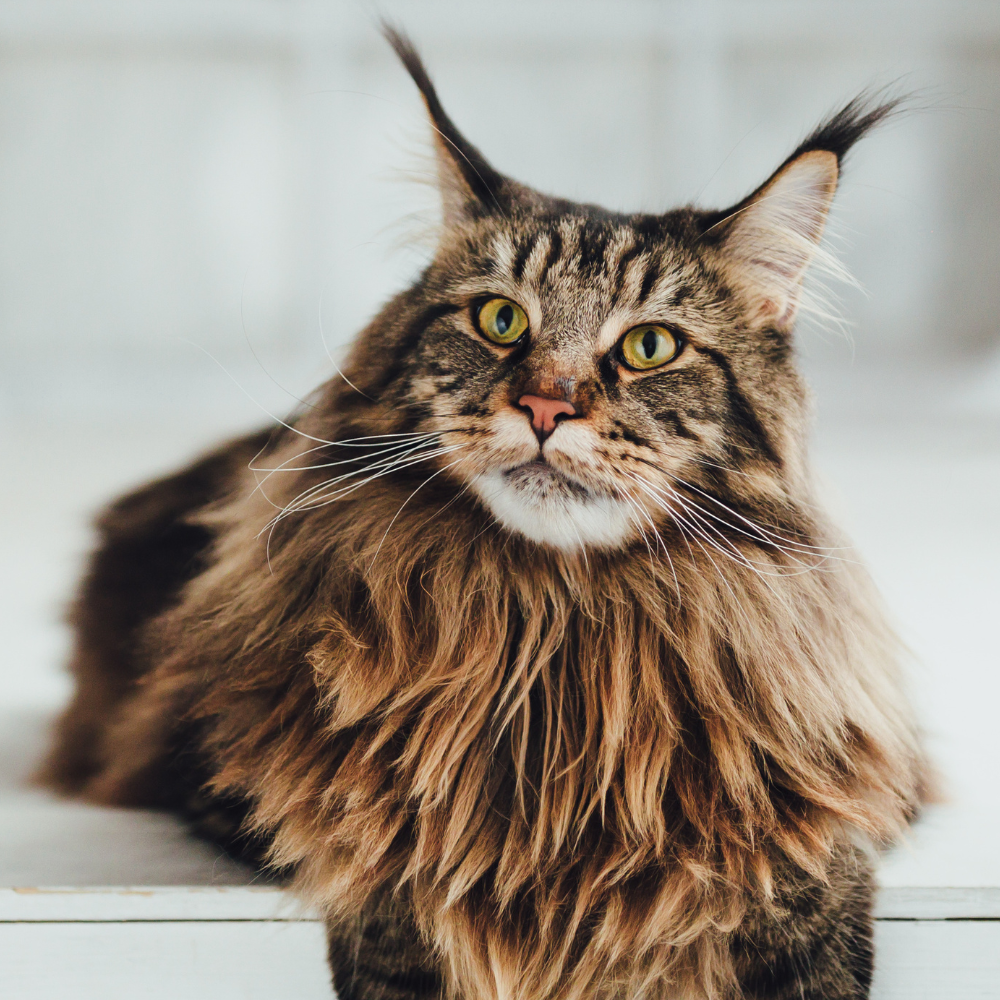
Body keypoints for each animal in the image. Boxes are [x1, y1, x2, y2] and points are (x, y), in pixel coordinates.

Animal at [43, 27, 924, 1000]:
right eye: (501, 320)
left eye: (649, 346)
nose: (545, 407)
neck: (558, 624)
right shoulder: (235, 764)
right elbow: (395, 846)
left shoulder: (850, 776)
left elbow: (801, 869)